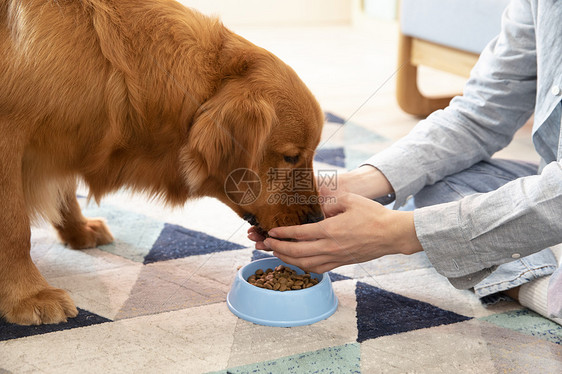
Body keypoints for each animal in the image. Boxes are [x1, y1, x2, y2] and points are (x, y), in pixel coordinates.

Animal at [0, 0, 322, 324]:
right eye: (291, 157)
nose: (317, 219)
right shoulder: (9, 136)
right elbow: (15, 227)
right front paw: (29, 294)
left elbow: (64, 191)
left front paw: (78, 229)